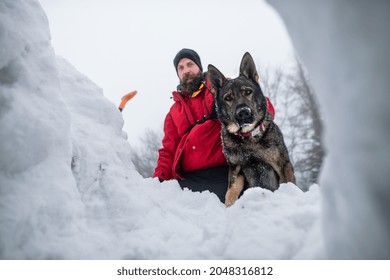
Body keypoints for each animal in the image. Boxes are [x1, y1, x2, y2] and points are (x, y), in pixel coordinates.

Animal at [209, 52, 294, 206]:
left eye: (248, 92)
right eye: (228, 98)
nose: (243, 113)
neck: (248, 137)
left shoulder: (282, 165)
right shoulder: (236, 170)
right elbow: (230, 193)